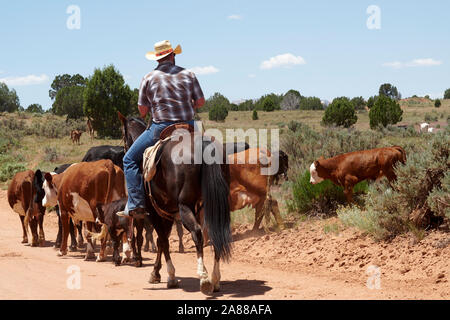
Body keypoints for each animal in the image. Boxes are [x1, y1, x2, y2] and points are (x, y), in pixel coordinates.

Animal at [118, 112, 232, 296]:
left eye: (123, 135)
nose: (124, 152)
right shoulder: (167, 214)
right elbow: (160, 241)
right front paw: (155, 273)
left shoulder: (155, 213)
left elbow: (163, 240)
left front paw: (170, 276)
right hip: (214, 207)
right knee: (214, 234)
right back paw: (215, 280)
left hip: (185, 207)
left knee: (197, 233)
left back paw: (204, 277)